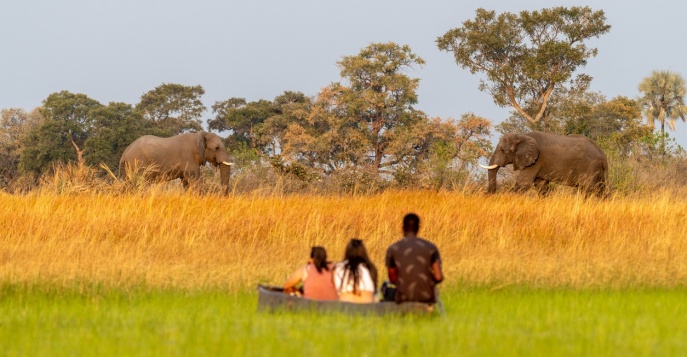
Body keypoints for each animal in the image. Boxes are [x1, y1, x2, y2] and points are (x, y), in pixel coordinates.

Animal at [482, 130, 612, 195]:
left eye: (503, 150)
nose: (491, 195)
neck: (522, 136)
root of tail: (603, 156)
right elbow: (541, 185)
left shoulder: (536, 160)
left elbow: (523, 183)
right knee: (601, 190)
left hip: (590, 166)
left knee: (588, 189)